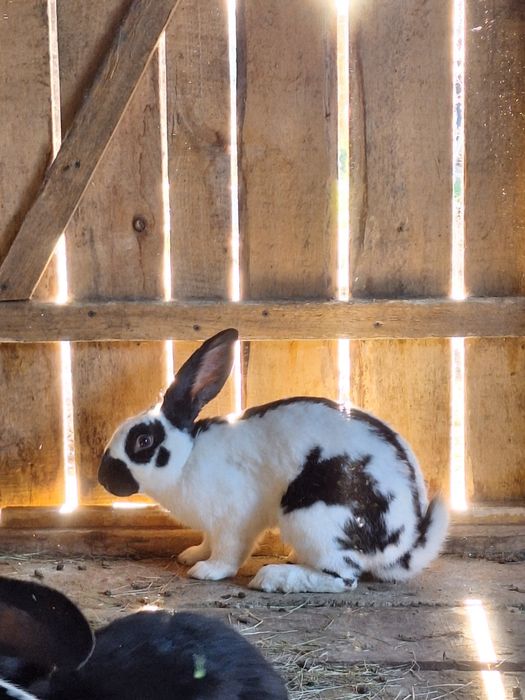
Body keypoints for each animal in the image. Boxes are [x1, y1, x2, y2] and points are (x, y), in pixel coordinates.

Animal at [99, 328, 449, 594]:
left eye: (143, 441)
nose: (104, 478)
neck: (187, 459)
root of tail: (405, 545)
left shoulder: (234, 518)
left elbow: (228, 551)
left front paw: (206, 570)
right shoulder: (213, 525)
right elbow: (208, 540)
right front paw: (192, 554)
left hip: (313, 517)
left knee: (342, 578)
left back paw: (273, 577)